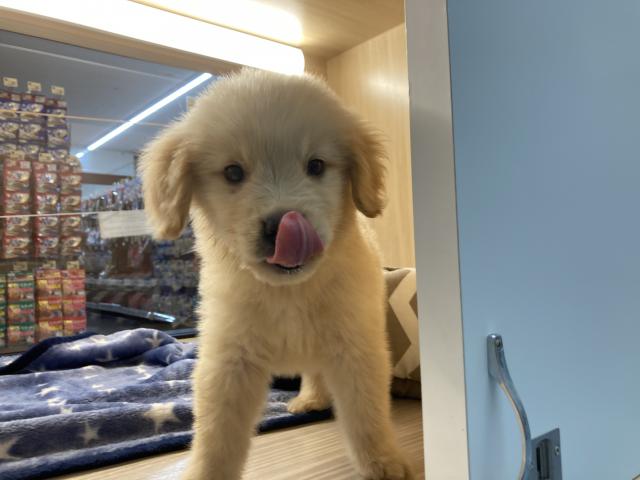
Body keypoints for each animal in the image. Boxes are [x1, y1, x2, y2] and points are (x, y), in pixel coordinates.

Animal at [140, 68, 413, 480]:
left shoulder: (356, 346)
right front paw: (205, 473)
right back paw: (310, 398)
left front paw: (383, 463)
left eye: (316, 166)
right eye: (233, 172)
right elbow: (217, 435)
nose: (281, 225)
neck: (289, 293)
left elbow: (367, 414)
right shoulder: (229, 360)